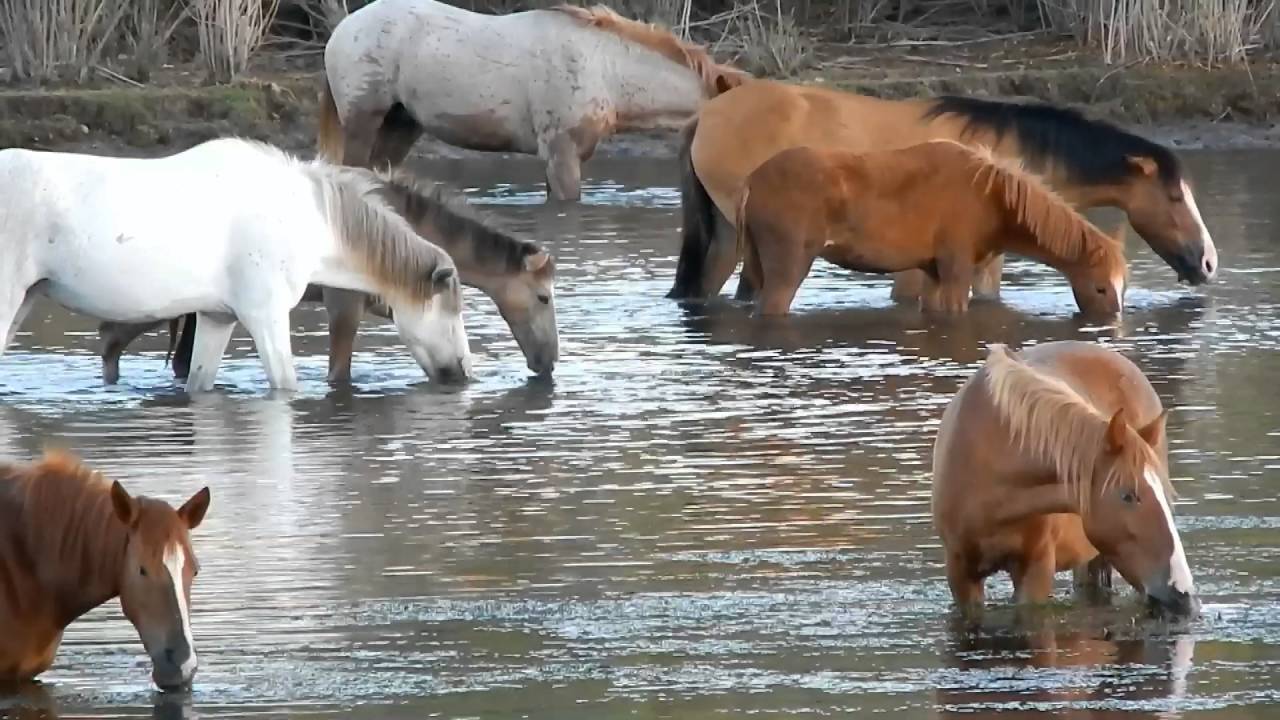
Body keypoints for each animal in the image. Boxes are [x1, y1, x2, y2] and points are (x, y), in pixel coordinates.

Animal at [0, 137, 472, 394]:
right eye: (451, 312)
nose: (464, 373)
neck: (304, 216)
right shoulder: (266, 316)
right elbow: (284, 386)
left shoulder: (216, 318)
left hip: (25, 300)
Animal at [733, 141, 1128, 318]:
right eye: (1099, 286)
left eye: (1123, 286)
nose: (1113, 320)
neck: (992, 198)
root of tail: (752, 180)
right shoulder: (956, 269)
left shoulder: (934, 272)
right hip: (787, 269)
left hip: (754, 267)